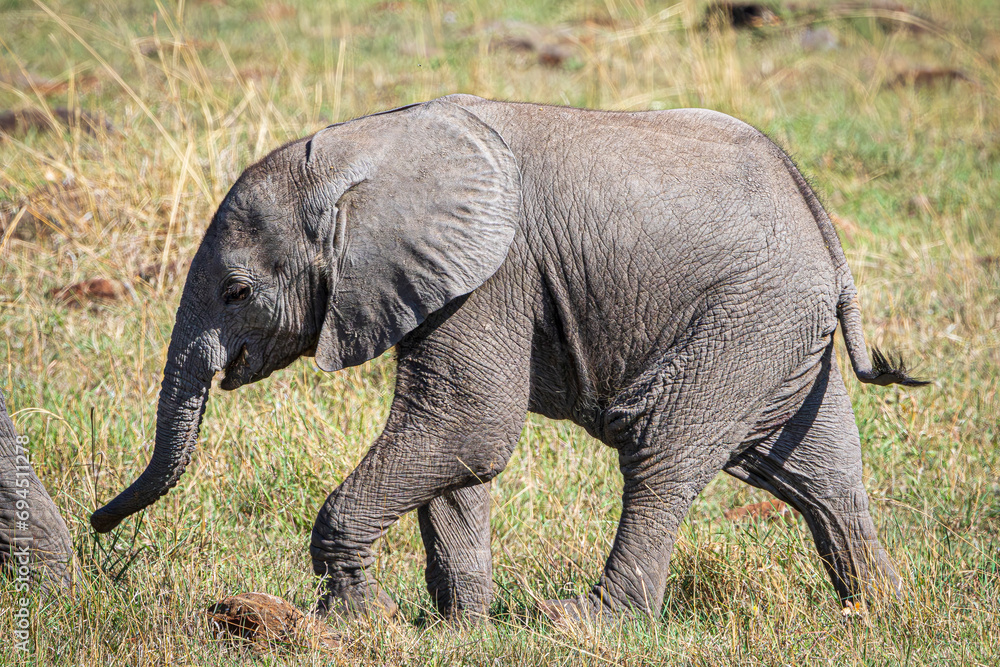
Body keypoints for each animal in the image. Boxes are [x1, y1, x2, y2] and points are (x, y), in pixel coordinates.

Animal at [90, 96, 924, 624]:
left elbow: (469, 426)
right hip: (777, 332)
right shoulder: (442, 281)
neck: (367, 148)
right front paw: (457, 625)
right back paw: (877, 609)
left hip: (747, 318)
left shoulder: (493, 274)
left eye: (237, 291)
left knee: (661, 450)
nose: (100, 525)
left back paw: (585, 621)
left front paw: (358, 621)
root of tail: (815, 211)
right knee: (818, 470)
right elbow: (459, 452)